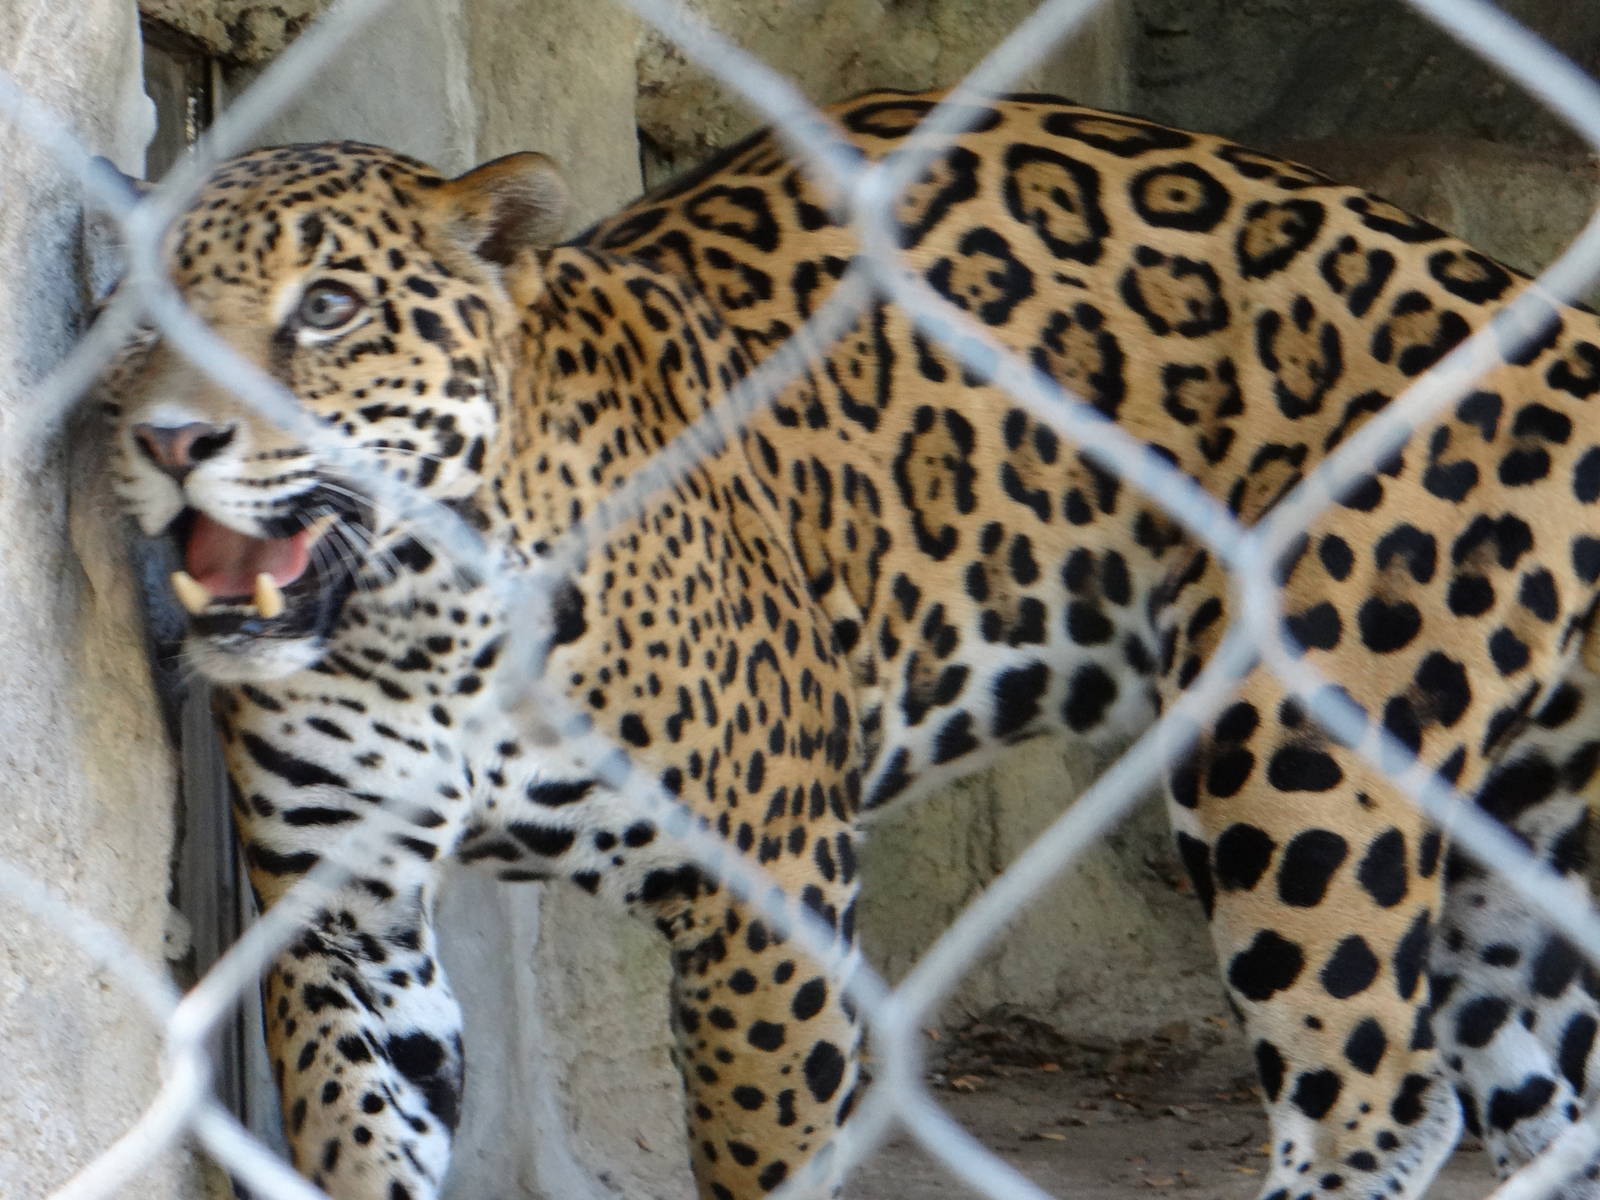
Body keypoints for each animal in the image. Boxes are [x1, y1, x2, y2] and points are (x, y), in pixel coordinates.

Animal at [99, 88, 1600, 1200]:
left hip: (1295, 764)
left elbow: (762, 1152)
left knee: (1378, 1102)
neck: (424, 622)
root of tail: (1534, 307)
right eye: (136, 312)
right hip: (1512, 854)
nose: (172, 443)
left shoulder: (769, 892)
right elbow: (361, 1135)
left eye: (328, 309)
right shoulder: (338, 922)